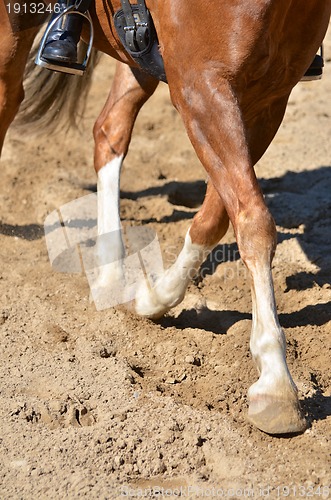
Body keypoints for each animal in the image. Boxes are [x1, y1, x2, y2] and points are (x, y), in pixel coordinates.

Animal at [1, 0, 330, 434]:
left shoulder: (267, 99)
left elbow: (219, 217)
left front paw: (154, 297)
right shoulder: (200, 88)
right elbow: (254, 221)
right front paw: (275, 382)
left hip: (135, 58)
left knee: (109, 128)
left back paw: (110, 271)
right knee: (8, 100)